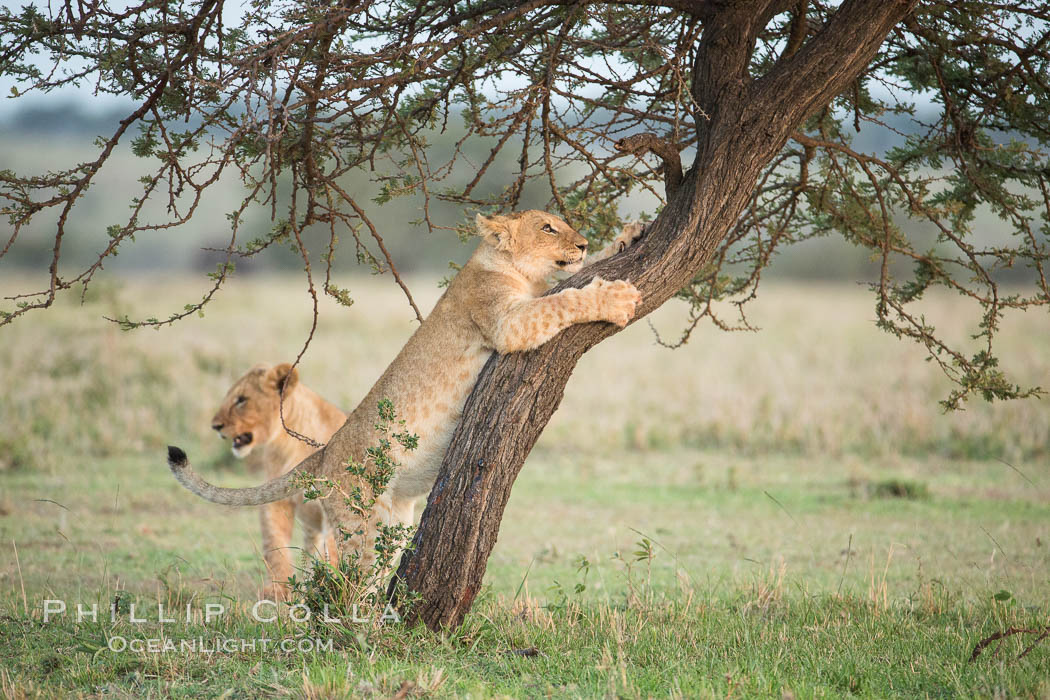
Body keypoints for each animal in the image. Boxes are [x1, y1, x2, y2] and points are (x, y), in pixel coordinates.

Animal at [168, 212, 644, 570]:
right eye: (548, 228)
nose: (583, 244)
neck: (512, 270)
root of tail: (326, 452)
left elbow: (568, 284)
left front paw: (626, 237)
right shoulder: (508, 320)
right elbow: (563, 300)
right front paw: (616, 296)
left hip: (393, 524)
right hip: (361, 521)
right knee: (345, 580)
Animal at [209, 362, 356, 600]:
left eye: (242, 399)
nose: (215, 426)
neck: (287, 445)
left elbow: (336, 546)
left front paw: (336, 584)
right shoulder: (276, 500)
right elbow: (274, 543)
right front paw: (277, 589)